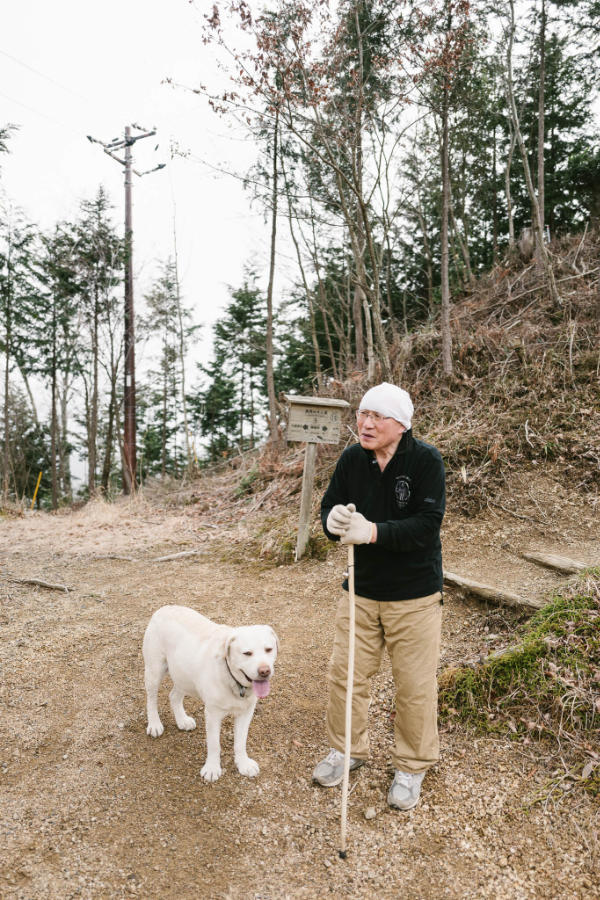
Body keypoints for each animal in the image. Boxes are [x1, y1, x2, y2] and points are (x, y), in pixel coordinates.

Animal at [143, 604, 278, 780]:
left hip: (184, 676)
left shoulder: (246, 713)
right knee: (151, 699)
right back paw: (154, 724)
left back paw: (182, 720)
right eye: (247, 653)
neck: (232, 679)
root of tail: (165, 607)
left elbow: (240, 742)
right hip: (154, 670)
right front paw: (212, 768)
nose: (264, 671)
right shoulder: (213, 715)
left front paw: (243, 764)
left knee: (173, 696)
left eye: (269, 649)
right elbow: (214, 745)